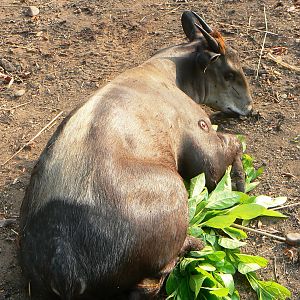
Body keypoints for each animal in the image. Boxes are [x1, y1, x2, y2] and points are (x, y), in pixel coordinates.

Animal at [19, 10, 248, 298]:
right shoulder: (199, 136)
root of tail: (66, 267)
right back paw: (196, 243)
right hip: (174, 190)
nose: (248, 107)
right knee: (152, 281)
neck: (169, 72)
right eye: (230, 73)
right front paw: (240, 181)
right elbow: (228, 151)